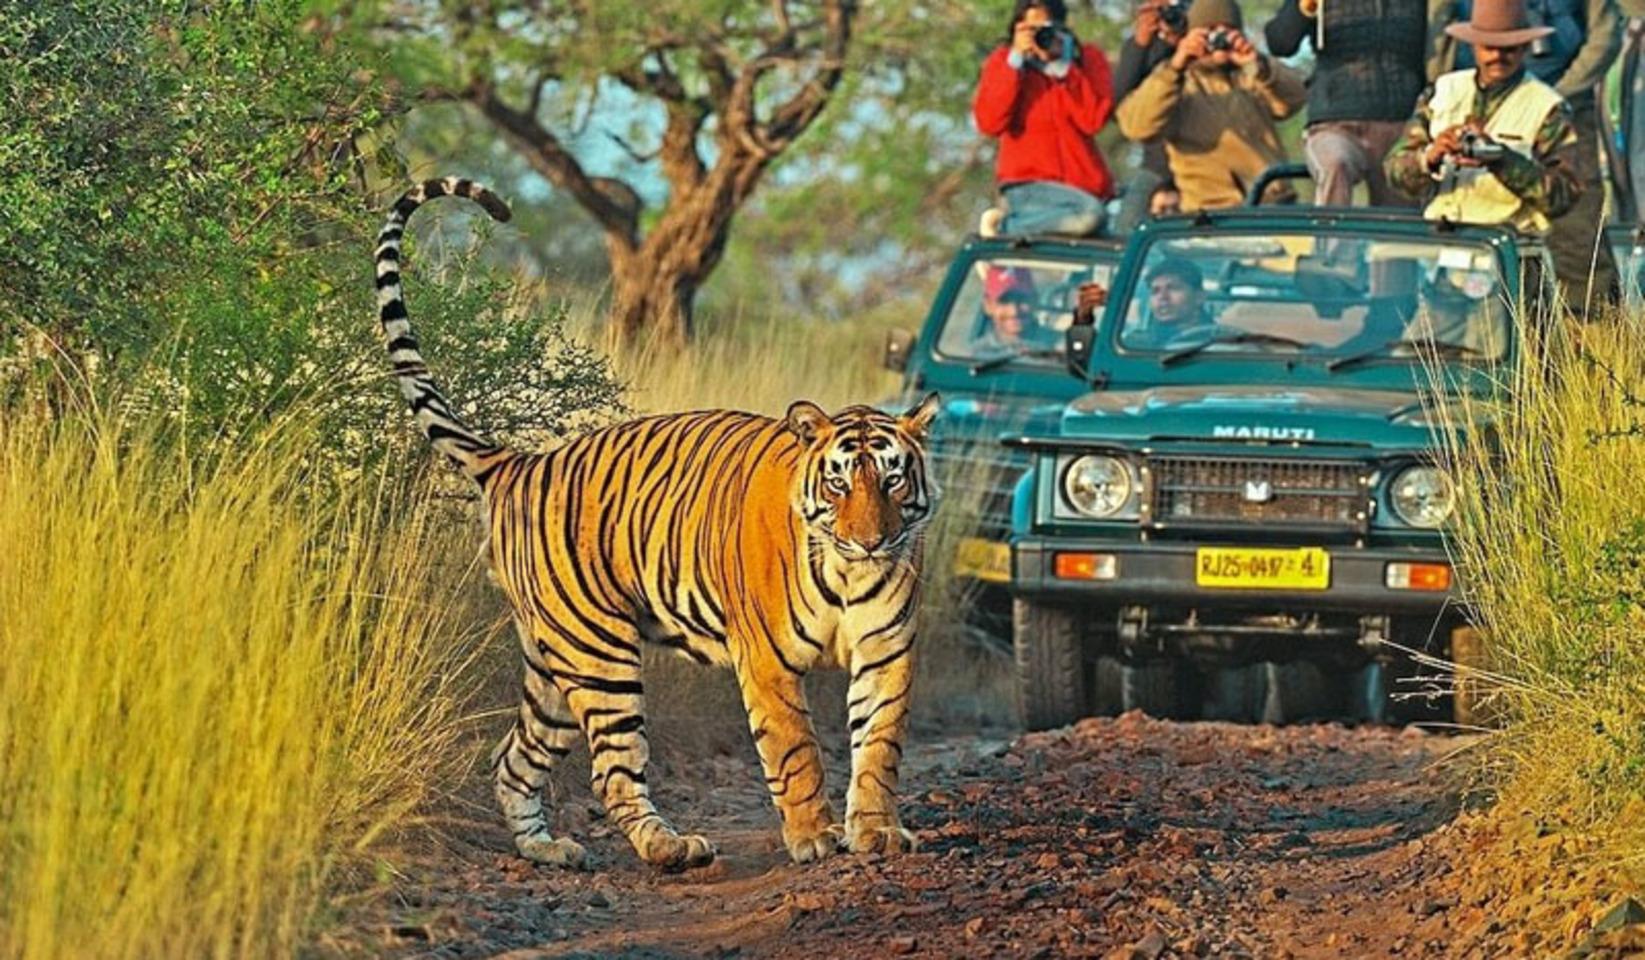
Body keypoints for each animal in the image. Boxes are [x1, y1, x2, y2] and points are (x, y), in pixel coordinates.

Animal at [373, 177, 941, 870]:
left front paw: (877, 831)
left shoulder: (887, 651)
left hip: (552, 665)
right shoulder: (768, 663)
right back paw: (670, 846)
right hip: (598, 653)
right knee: (613, 771)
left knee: (513, 760)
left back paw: (548, 849)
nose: (871, 540)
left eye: (892, 479)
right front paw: (813, 837)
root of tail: (520, 461)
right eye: (839, 483)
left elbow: (879, 747)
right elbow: (796, 752)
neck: (846, 571)